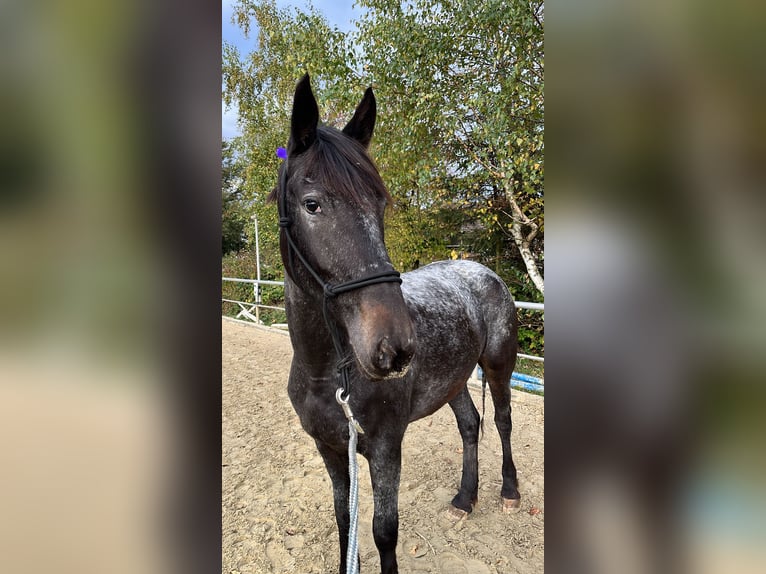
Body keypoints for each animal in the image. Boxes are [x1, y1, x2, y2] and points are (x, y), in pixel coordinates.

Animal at [270, 73, 520, 574]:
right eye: (312, 204)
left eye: (380, 203)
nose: (394, 348)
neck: (329, 375)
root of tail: (482, 271)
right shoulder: (332, 450)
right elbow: (345, 521)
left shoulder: (385, 448)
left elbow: (384, 531)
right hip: (454, 380)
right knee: (470, 424)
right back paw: (464, 499)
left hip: (499, 365)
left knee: (502, 421)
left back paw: (508, 491)